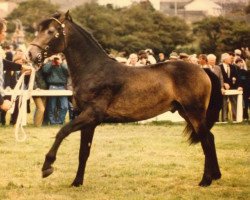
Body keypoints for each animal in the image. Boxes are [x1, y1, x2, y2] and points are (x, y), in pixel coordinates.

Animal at [28, 12, 222, 188]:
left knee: (206, 139)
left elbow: (62, 131)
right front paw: (77, 182)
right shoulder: (88, 120)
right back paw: (215, 175)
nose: (31, 53)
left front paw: (47, 167)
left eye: (51, 31)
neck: (93, 70)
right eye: (40, 29)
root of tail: (203, 70)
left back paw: (205, 180)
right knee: (210, 137)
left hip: (194, 112)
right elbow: (83, 152)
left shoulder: (91, 115)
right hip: (186, 112)